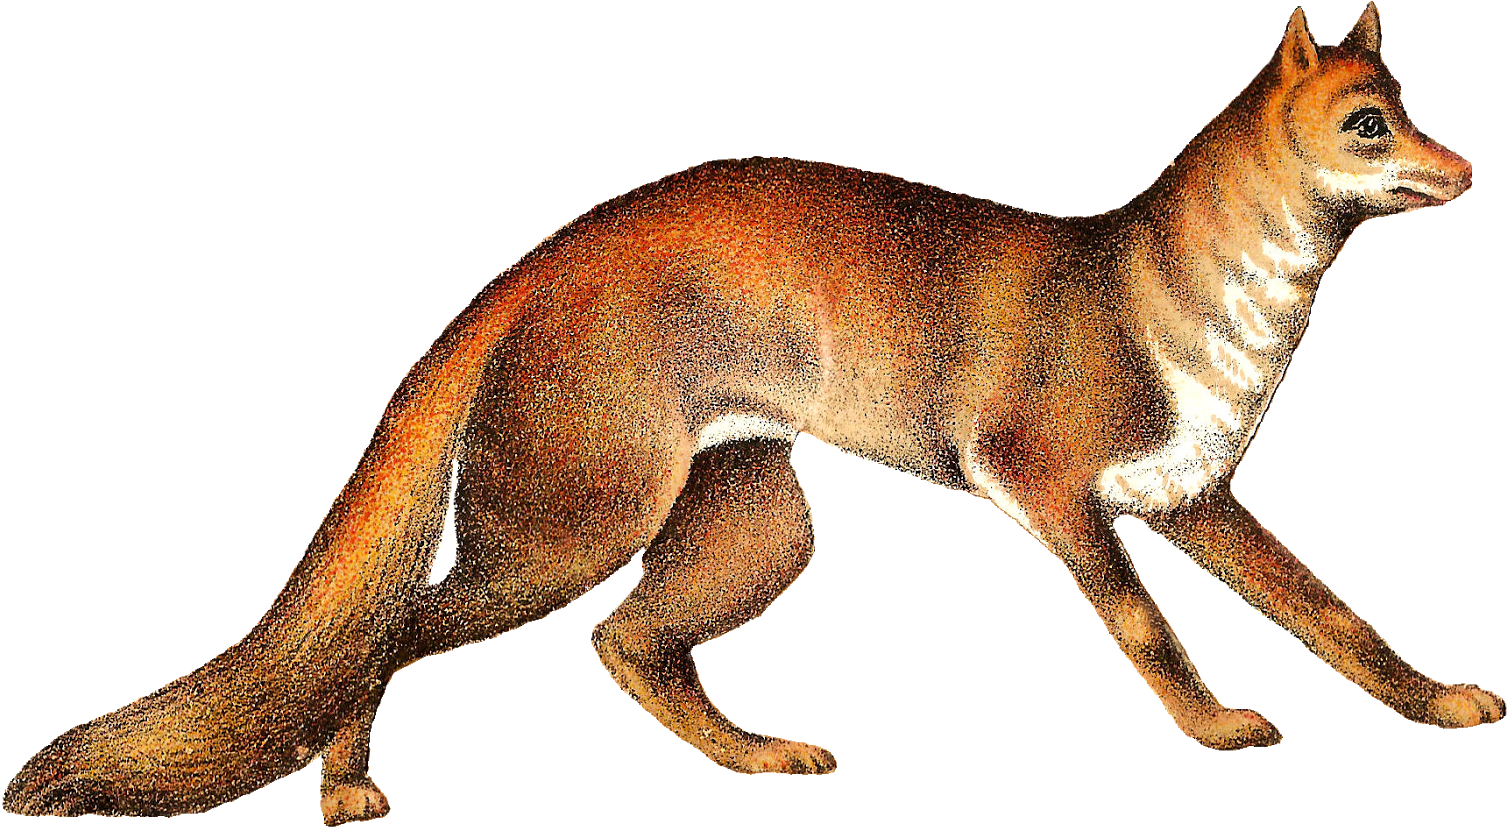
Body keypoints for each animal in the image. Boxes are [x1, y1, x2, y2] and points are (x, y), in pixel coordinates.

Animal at [5, 3, 1499, 821]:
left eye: (1412, 109)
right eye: (1368, 126)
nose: (1467, 166)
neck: (1214, 311)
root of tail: (536, 261)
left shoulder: (1193, 494)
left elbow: (1336, 617)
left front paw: (1437, 699)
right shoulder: (1052, 484)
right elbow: (1148, 630)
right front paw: (1217, 727)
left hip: (758, 525)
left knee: (627, 643)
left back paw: (762, 755)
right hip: (576, 529)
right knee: (402, 632)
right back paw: (343, 786)